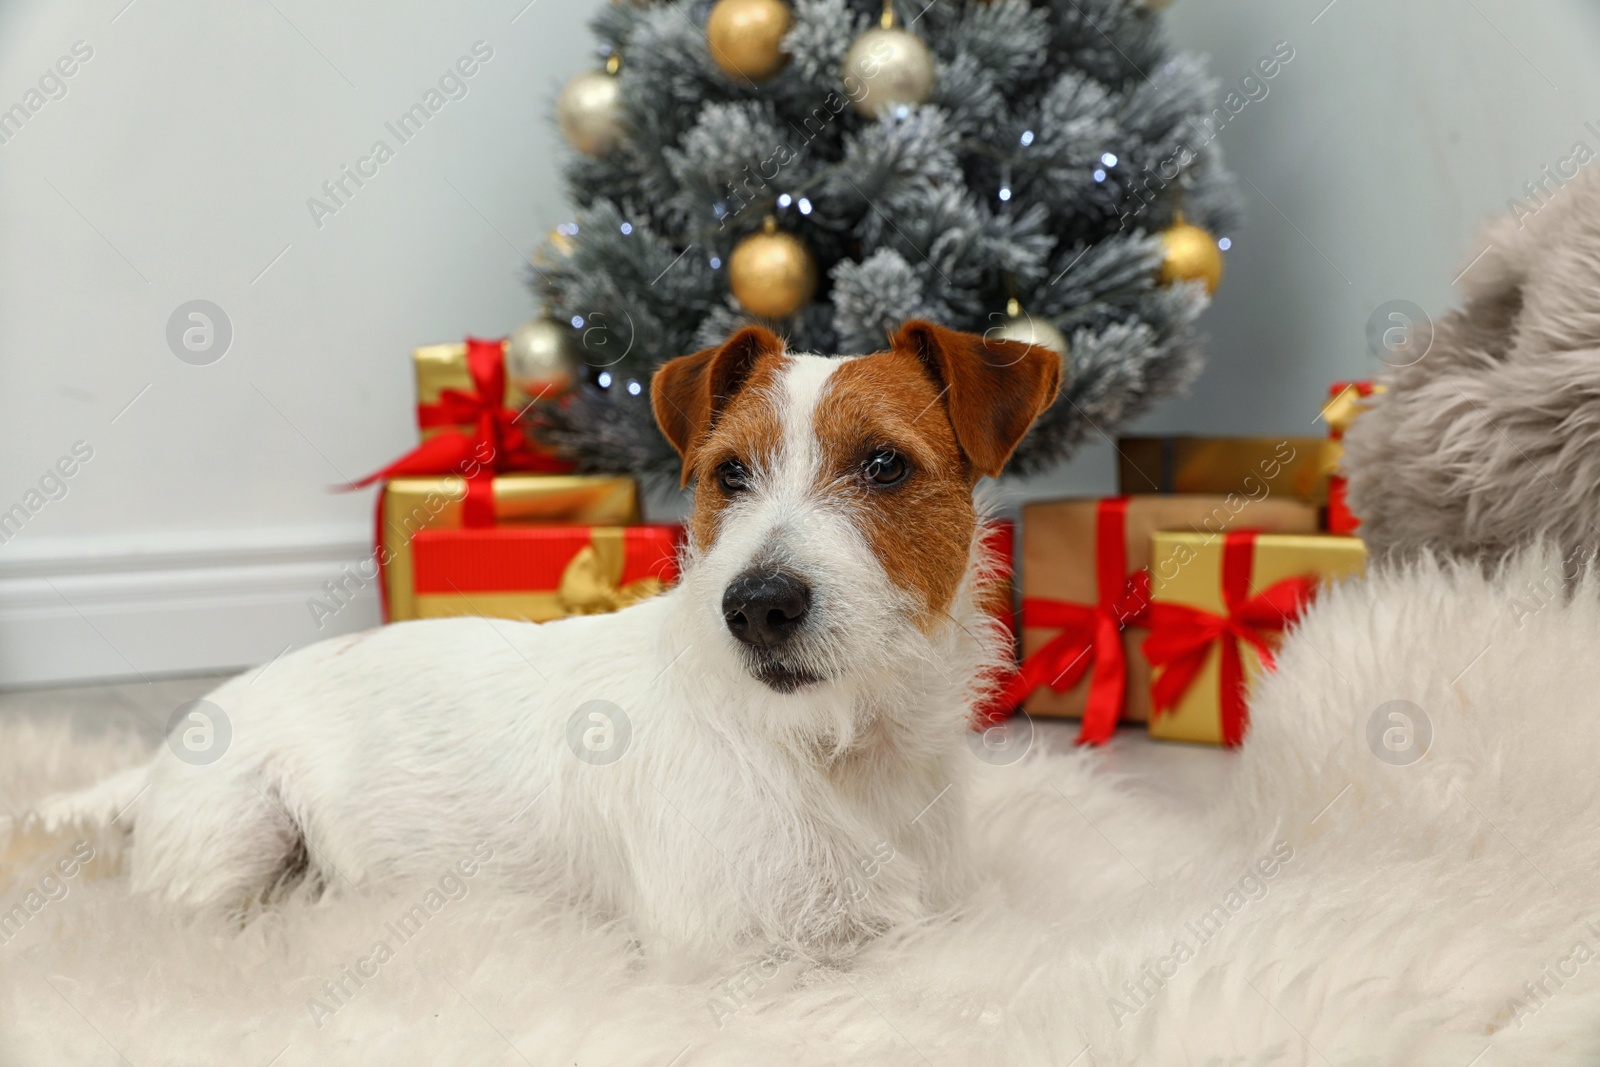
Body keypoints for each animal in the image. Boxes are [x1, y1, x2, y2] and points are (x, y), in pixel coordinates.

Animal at [18, 321, 1062, 953]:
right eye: (729, 473)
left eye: (885, 465)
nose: (757, 604)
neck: (840, 751)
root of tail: (171, 745)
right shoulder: (740, 954)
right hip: (234, 839)